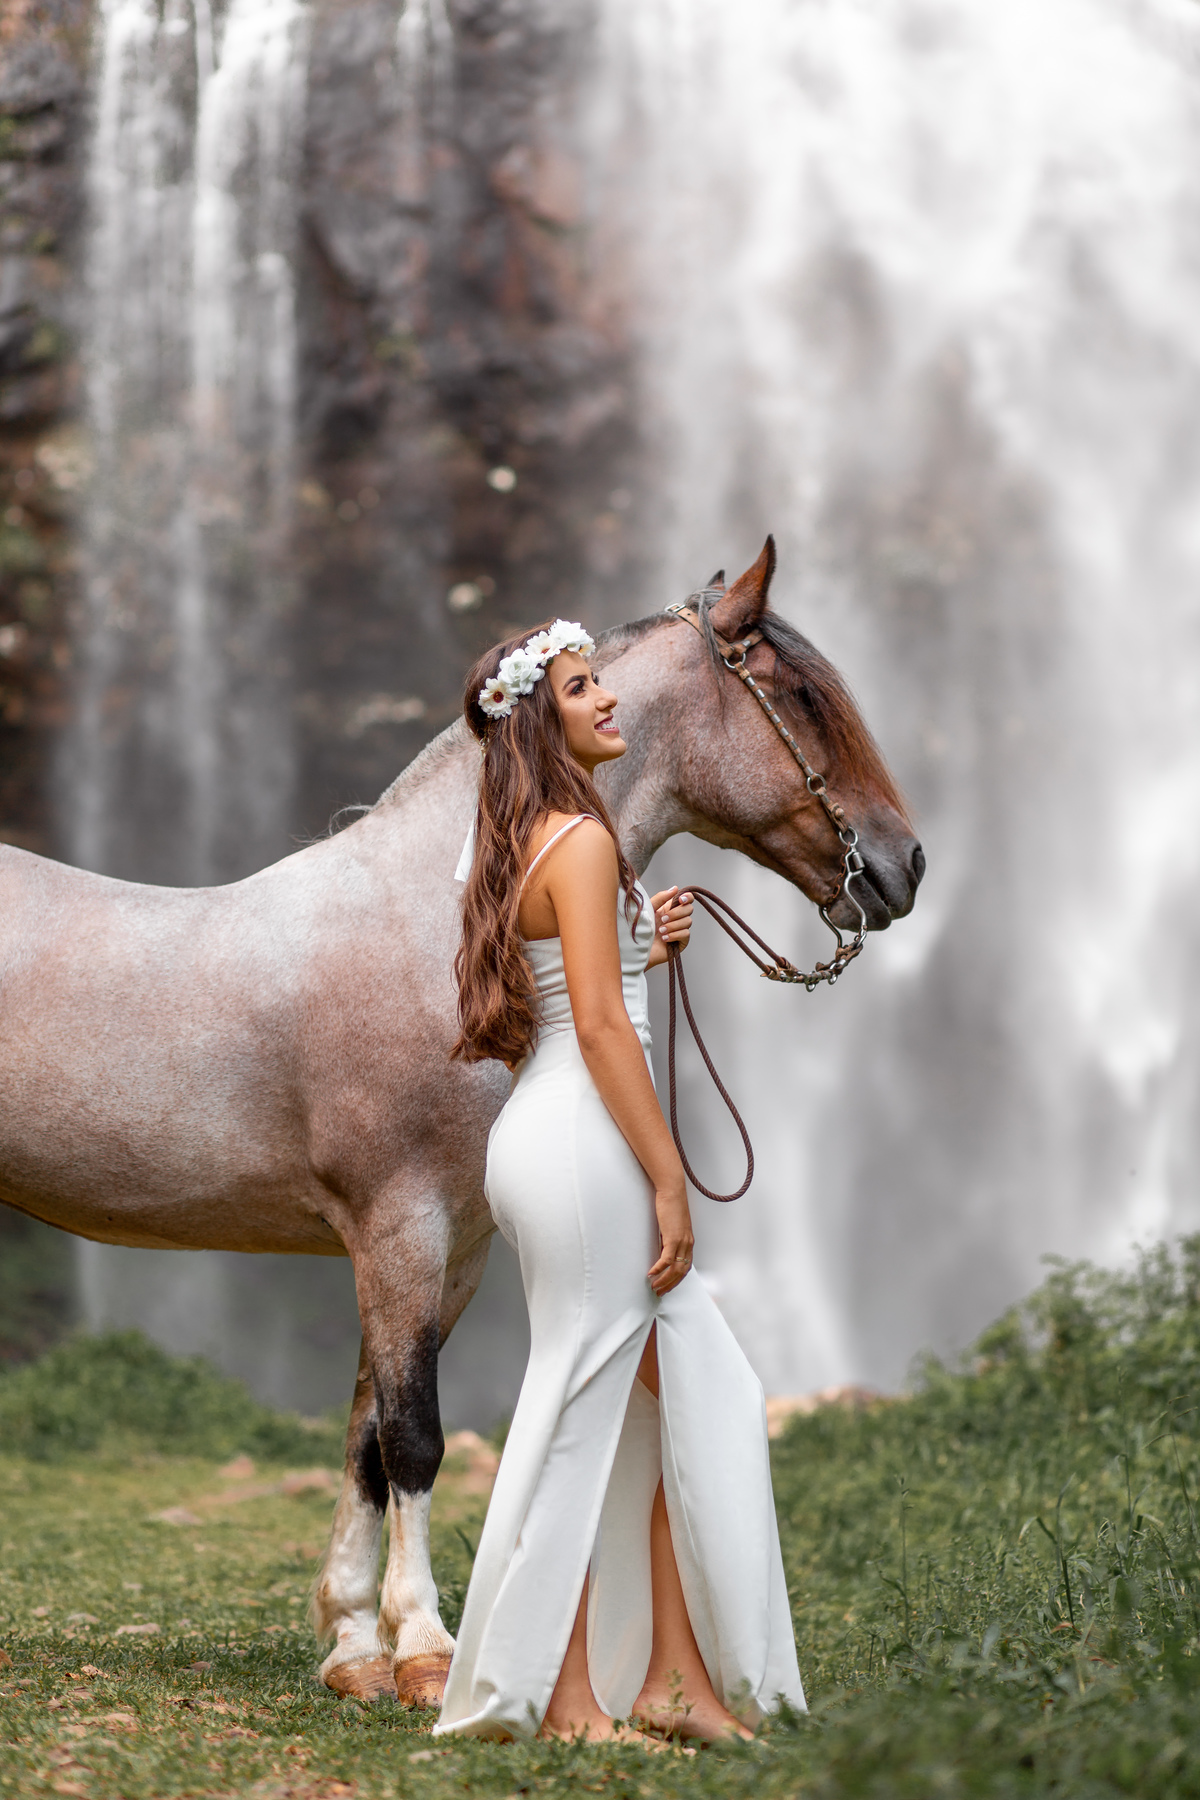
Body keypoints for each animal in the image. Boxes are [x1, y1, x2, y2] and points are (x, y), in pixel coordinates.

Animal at [0, 541, 922, 1705]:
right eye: (799, 693)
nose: (903, 865)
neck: (438, 926)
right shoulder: (400, 1231)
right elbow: (414, 1441)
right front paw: (427, 1653)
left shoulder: (454, 1253)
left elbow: (364, 1440)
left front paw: (354, 1647)